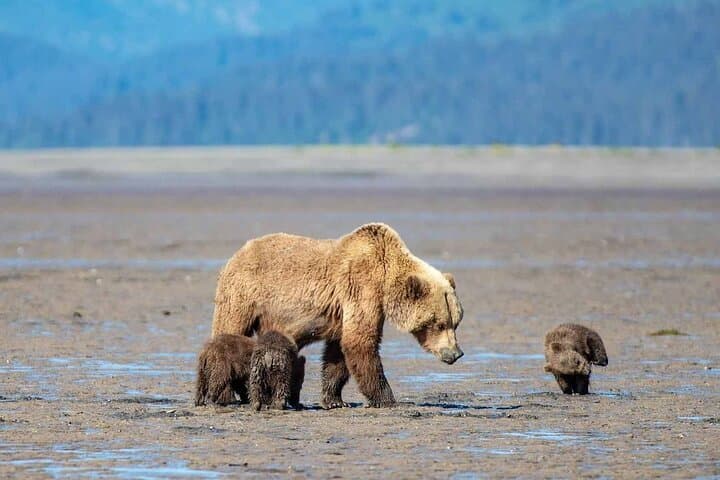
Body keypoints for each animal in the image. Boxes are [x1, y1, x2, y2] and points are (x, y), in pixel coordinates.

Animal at [211, 223, 464, 408]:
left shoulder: (344, 311)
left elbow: (339, 353)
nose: (455, 353)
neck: (384, 279)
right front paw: (388, 399)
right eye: (439, 323)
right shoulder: (362, 287)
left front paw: (334, 400)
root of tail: (237, 253)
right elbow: (361, 343)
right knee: (229, 331)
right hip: (244, 293)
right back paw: (227, 394)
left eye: (456, 322)